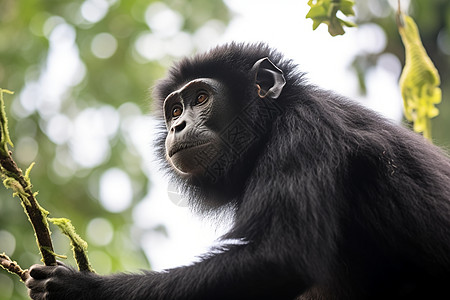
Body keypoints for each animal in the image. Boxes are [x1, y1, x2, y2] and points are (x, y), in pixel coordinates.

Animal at [25, 42, 450, 300]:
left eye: (200, 98)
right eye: (175, 110)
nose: (178, 126)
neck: (273, 118)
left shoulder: (305, 130)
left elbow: (278, 258)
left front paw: (82, 289)